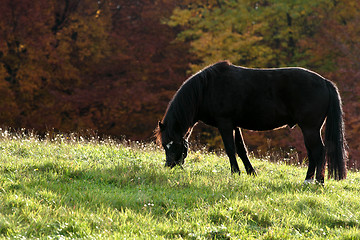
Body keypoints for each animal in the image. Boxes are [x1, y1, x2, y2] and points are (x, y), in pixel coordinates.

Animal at [155, 61, 346, 183]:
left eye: (172, 144)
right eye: (165, 145)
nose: (169, 166)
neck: (207, 88)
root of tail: (325, 82)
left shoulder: (225, 123)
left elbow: (230, 149)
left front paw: (235, 173)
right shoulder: (235, 125)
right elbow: (241, 149)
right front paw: (250, 172)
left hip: (310, 128)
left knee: (319, 151)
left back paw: (317, 181)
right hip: (309, 129)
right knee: (313, 152)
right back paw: (309, 180)